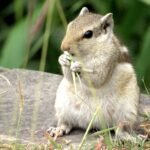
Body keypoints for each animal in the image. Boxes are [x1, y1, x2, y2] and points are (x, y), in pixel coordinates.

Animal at [47, 6, 141, 141]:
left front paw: (78, 67)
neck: (87, 55)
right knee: (66, 123)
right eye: (70, 25)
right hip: (62, 104)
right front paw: (63, 59)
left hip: (127, 110)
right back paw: (58, 129)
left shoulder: (108, 60)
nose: (64, 47)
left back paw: (129, 137)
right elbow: (69, 77)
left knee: (120, 128)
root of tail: (93, 124)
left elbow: (98, 79)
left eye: (88, 34)